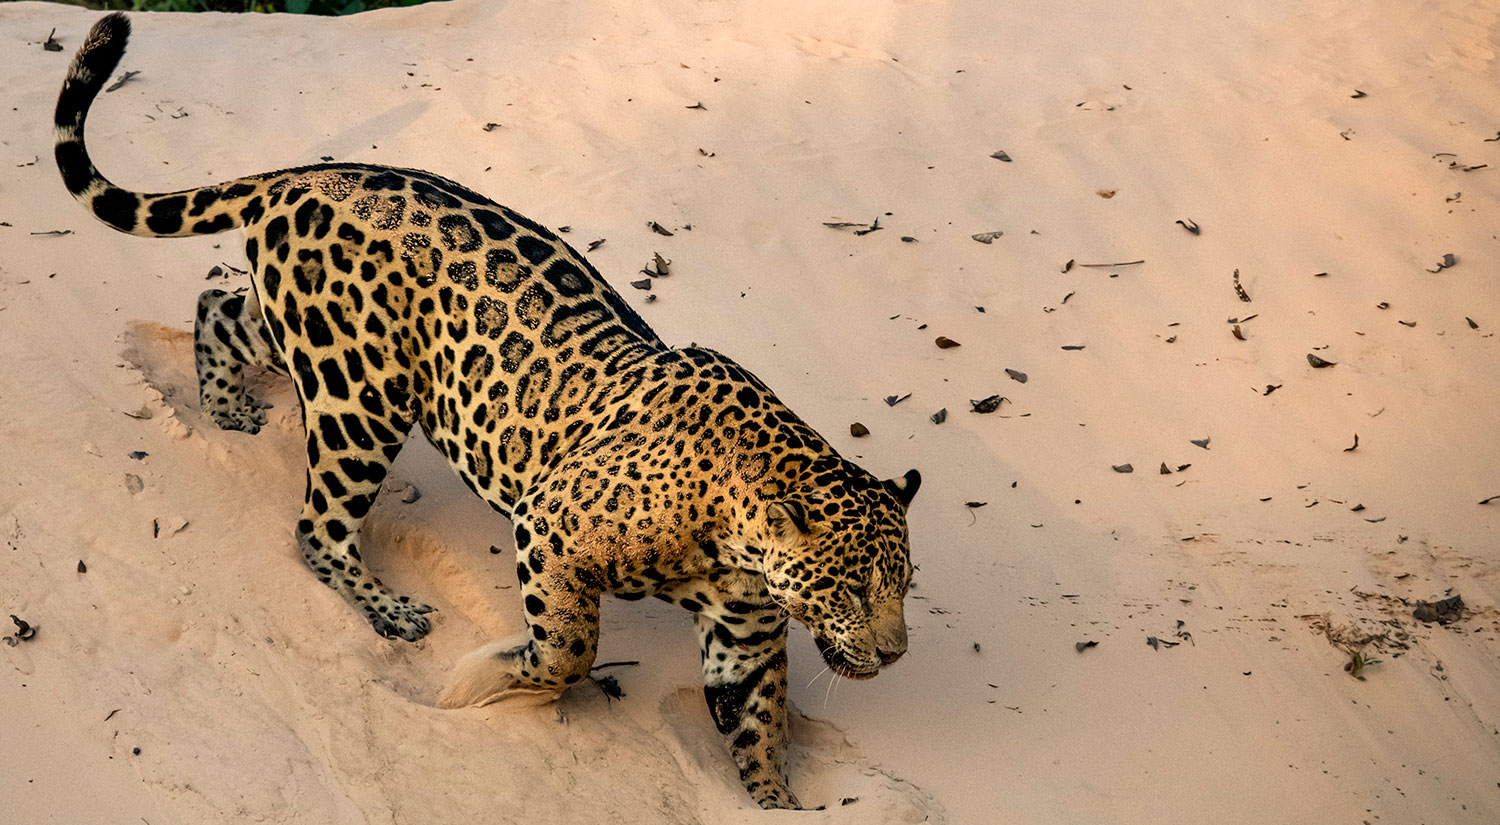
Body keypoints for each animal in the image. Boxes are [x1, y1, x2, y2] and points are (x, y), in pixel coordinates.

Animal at [55, 13, 921, 809]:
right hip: (362, 397)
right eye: (850, 590)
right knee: (317, 526)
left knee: (219, 306)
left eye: (903, 586)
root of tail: (302, 178)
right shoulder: (551, 526)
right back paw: (390, 609)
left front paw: (778, 802)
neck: (739, 522)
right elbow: (569, 647)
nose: (895, 655)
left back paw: (225, 406)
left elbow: (759, 731)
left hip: (307, 337)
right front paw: (491, 682)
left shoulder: (746, 633)